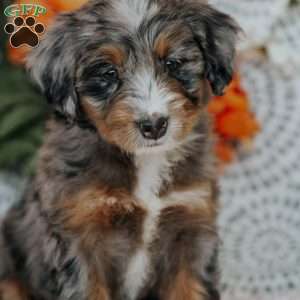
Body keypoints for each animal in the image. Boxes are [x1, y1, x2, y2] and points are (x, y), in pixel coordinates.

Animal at [0, 1, 239, 298]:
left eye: (172, 63)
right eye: (108, 73)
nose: (154, 125)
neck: (146, 160)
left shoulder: (192, 226)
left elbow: (190, 287)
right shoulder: (80, 235)